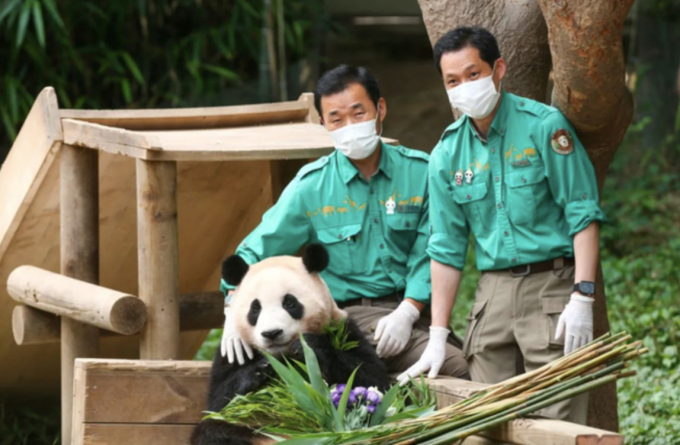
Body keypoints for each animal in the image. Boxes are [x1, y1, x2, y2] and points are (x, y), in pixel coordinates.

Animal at [191, 243, 394, 444]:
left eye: (289, 303)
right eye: (255, 309)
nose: (272, 333)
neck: (282, 355)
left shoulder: (344, 331)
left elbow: (371, 378)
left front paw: (309, 346)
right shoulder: (234, 351)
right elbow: (218, 401)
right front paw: (261, 368)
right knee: (212, 432)